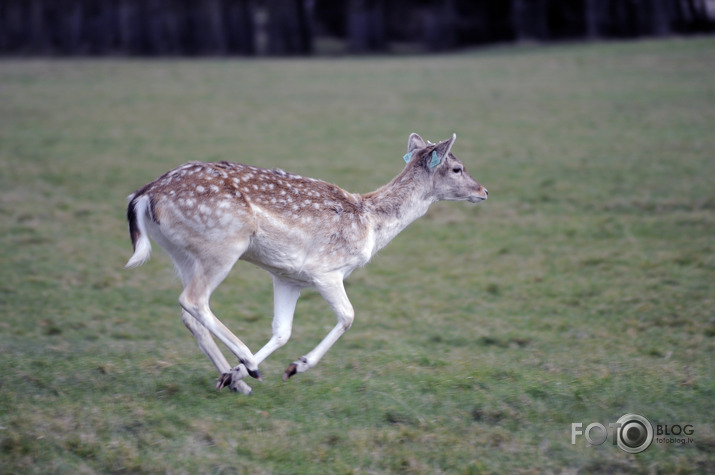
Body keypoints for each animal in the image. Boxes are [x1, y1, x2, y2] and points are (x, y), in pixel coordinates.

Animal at [126, 133, 490, 394]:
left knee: (189, 314)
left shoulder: (288, 277)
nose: (484, 191)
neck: (370, 224)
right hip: (223, 245)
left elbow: (282, 331)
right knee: (193, 300)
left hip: (183, 254)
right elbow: (348, 316)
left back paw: (237, 381)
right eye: (457, 168)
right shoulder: (326, 270)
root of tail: (144, 195)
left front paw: (237, 375)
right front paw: (293, 367)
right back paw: (247, 362)